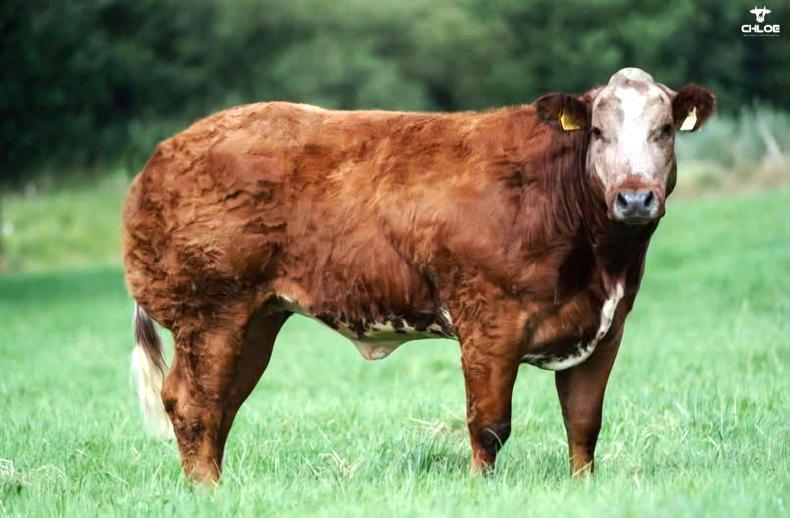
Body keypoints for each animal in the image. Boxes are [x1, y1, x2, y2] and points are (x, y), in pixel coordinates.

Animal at [123, 67, 715, 484]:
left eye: (665, 130)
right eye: (597, 131)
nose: (634, 197)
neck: (598, 264)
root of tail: (165, 154)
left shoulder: (605, 328)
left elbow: (584, 422)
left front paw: (583, 488)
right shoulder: (489, 321)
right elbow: (489, 424)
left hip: (256, 320)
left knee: (219, 404)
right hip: (211, 313)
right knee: (192, 403)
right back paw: (207, 490)